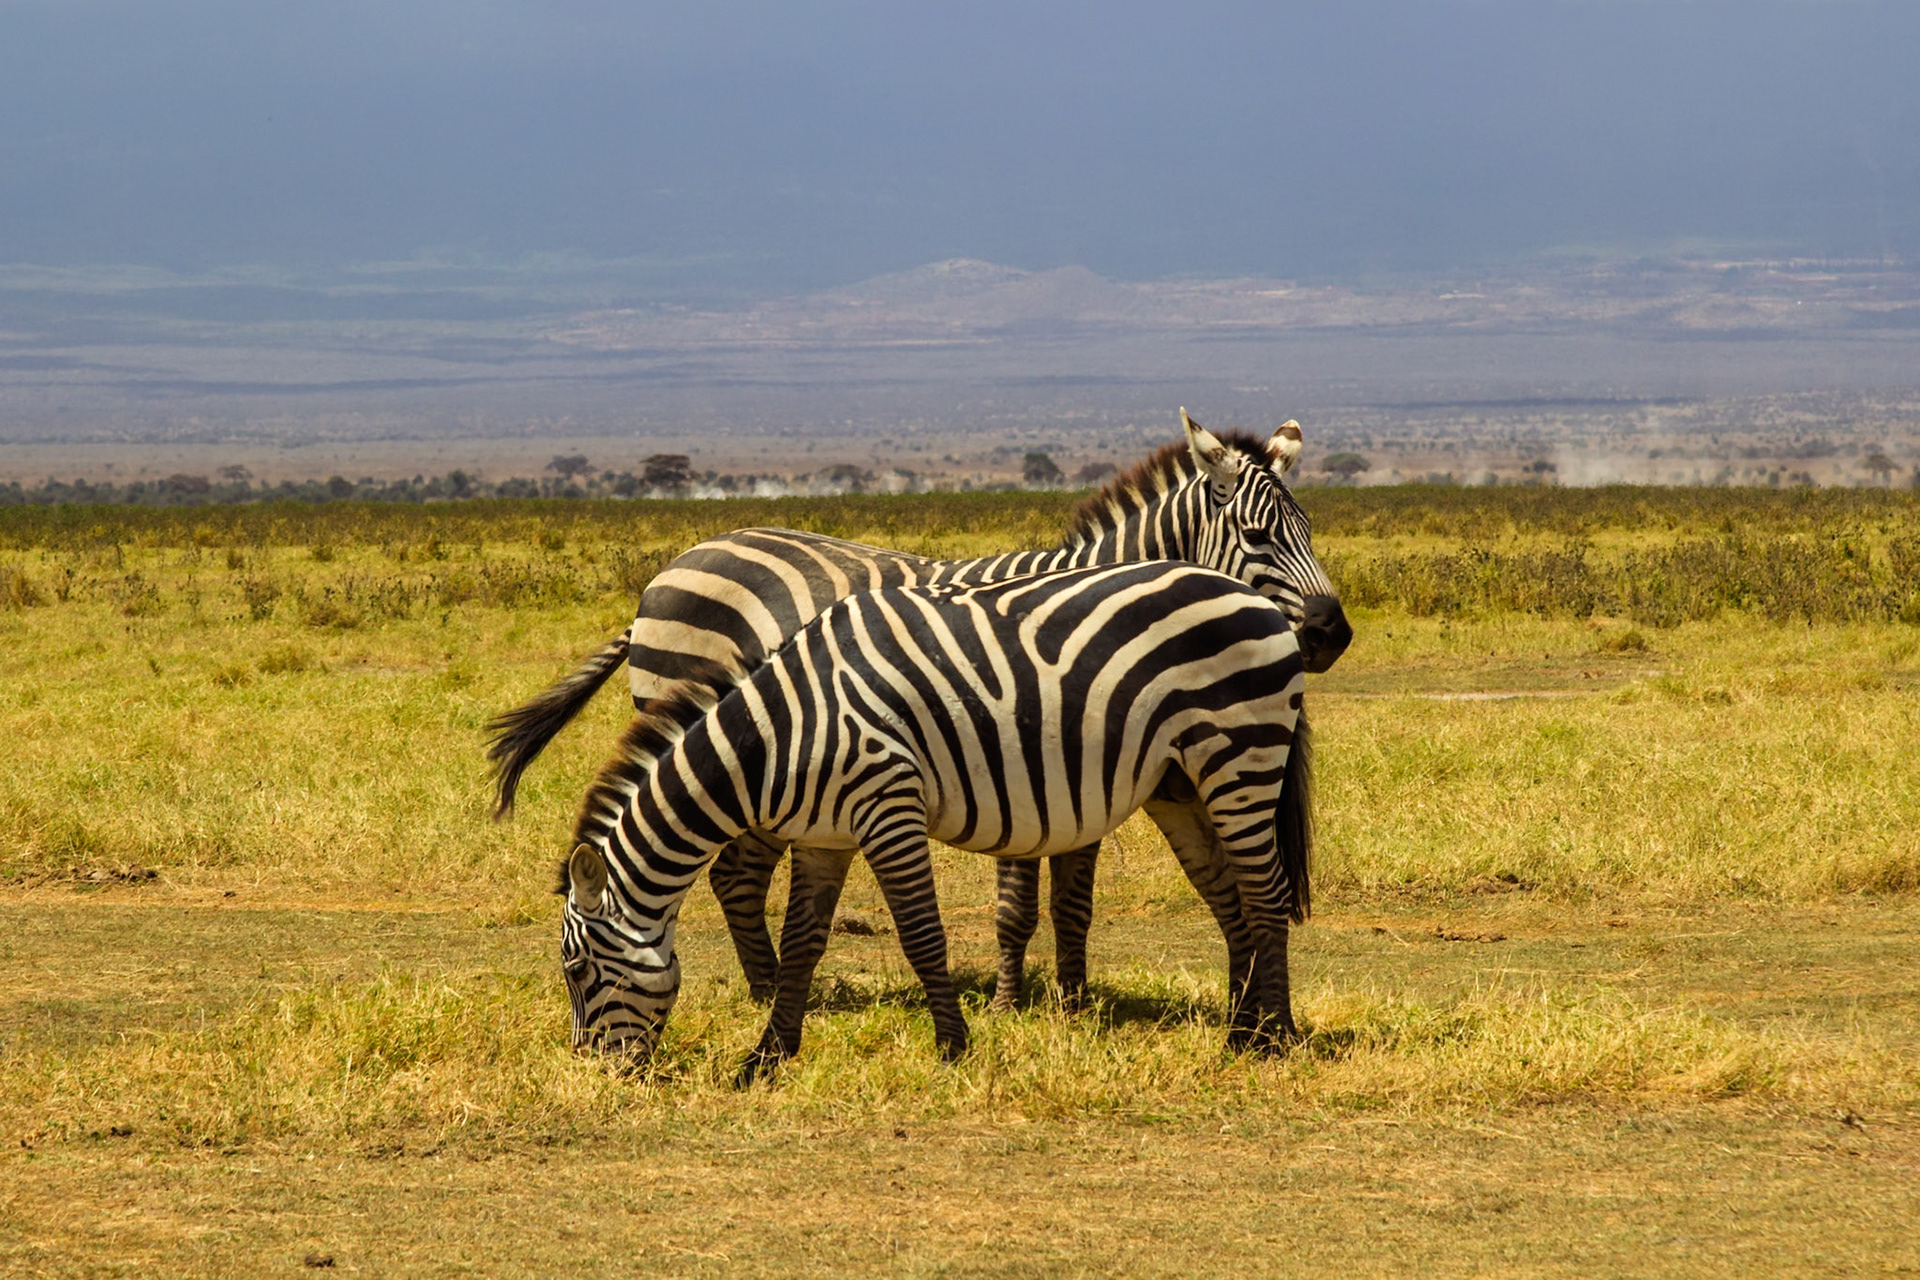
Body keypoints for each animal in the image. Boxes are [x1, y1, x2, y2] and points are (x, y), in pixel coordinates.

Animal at [494, 410, 1348, 1008]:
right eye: (1257, 534)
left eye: (1311, 528)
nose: (1332, 633)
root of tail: (669, 570)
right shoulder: (1031, 754)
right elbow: (1018, 904)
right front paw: (1012, 1003)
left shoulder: (1086, 758)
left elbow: (1073, 900)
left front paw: (1072, 1004)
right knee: (732, 873)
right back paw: (770, 992)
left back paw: (773, 986)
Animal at [555, 560, 1310, 1077]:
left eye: (577, 970)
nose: (597, 1071)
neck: (778, 736)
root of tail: (1251, 594)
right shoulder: (823, 836)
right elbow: (802, 942)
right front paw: (767, 1058)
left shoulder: (888, 805)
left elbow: (921, 935)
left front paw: (952, 1046)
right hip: (1180, 784)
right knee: (1230, 900)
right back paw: (1239, 1033)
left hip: (1240, 752)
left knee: (1266, 897)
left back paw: (1275, 1037)